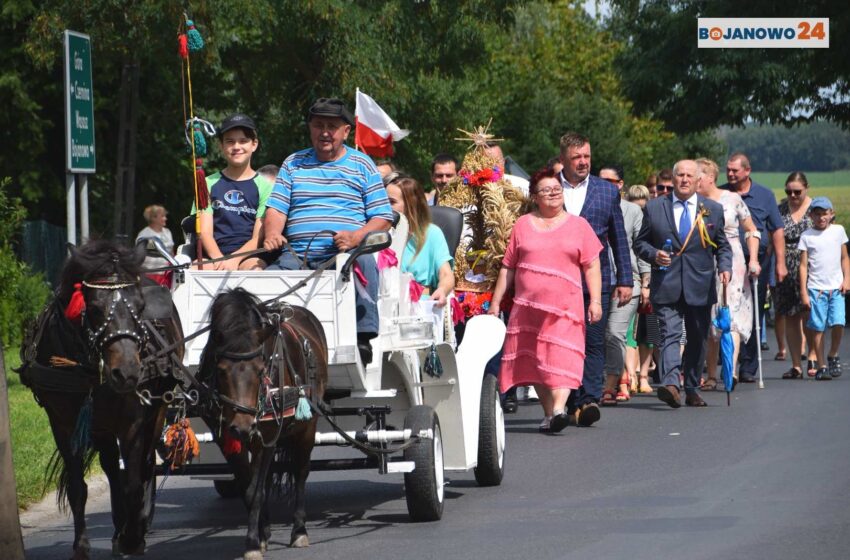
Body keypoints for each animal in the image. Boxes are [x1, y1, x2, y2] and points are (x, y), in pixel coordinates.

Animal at [18, 238, 184, 556]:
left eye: (140, 307)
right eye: (94, 307)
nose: (128, 372)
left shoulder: (133, 422)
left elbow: (133, 481)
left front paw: (134, 537)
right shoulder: (63, 424)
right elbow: (77, 487)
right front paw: (82, 546)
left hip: (154, 412)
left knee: (144, 465)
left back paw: (134, 526)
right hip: (101, 424)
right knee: (110, 466)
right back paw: (119, 527)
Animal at [202, 288, 328, 560]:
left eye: (260, 370)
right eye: (221, 370)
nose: (242, 427)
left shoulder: (269, 436)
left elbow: (256, 490)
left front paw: (252, 543)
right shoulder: (226, 438)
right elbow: (248, 489)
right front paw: (260, 536)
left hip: (306, 428)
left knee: (300, 472)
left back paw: (299, 530)